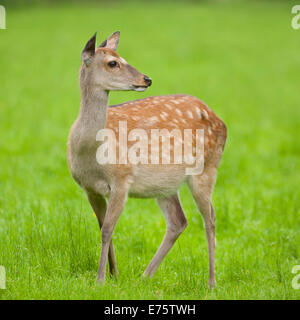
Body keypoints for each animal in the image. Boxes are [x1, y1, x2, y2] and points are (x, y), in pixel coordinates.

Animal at [68, 31, 226, 288]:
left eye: (122, 57)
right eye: (113, 63)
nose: (147, 79)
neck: (90, 153)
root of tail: (220, 120)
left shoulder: (122, 180)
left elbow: (107, 229)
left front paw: (100, 279)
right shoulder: (89, 188)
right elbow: (102, 227)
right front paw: (114, 274)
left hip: (207, 168)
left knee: (209, 217)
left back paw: (211, 282)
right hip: (165, 184)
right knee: (178, 221)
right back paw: (144, 276)